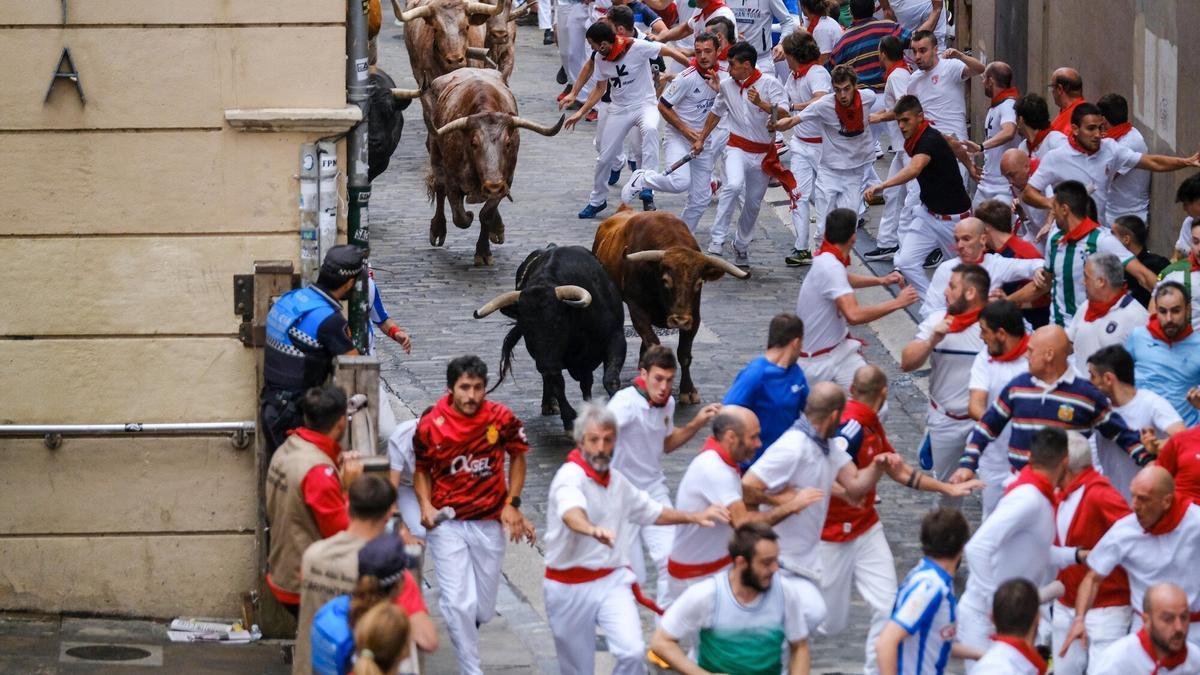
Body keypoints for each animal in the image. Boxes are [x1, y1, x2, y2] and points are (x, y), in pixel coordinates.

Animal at [424, 67, 564, 263]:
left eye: (508, 143)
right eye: (474, 143)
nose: (494, 185)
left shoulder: (507, 180)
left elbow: (486, 214)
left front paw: (483, 251)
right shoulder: (453, 182)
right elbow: (460, 217)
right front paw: (468, 216)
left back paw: (497, 228)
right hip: (435, 153)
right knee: (439, 188)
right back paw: (437, 230)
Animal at [470, 243, 628, 427]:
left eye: (558, 321)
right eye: (526, 327)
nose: (545, 364)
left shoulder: (616, 338)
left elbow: (610, 378)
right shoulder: (551, 361)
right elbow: (557, 384)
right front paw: (569, 419)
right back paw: (549, 405)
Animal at [588, 205, 744, 401]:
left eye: (698, 283)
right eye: (666, 280)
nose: (680, 320)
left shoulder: (694, 316)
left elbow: (684, 354)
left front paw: (688, 390)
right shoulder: (637, 311)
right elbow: (653, 342)